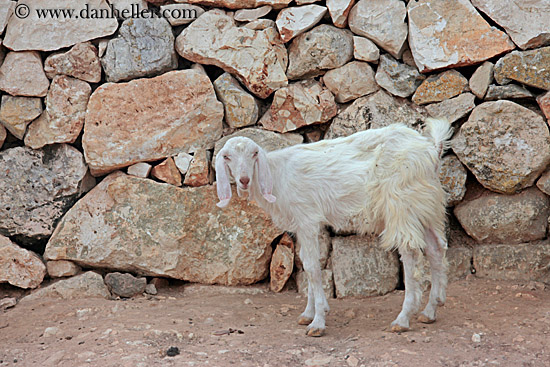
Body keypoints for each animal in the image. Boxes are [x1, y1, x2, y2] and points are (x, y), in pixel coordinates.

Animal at [216, 119, 452, 338]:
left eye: (254, 153)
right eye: (227, 157)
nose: (244, 180)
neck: (277, 175)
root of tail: (431, 148)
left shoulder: (307, 218)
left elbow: (312, 268)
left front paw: (318, 321)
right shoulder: (304, 225)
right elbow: (306, 263)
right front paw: (308, 313)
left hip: (401, 204)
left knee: (410, 253)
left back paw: (403, 318)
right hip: (426, 206)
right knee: (436, 248)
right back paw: (431, 310)